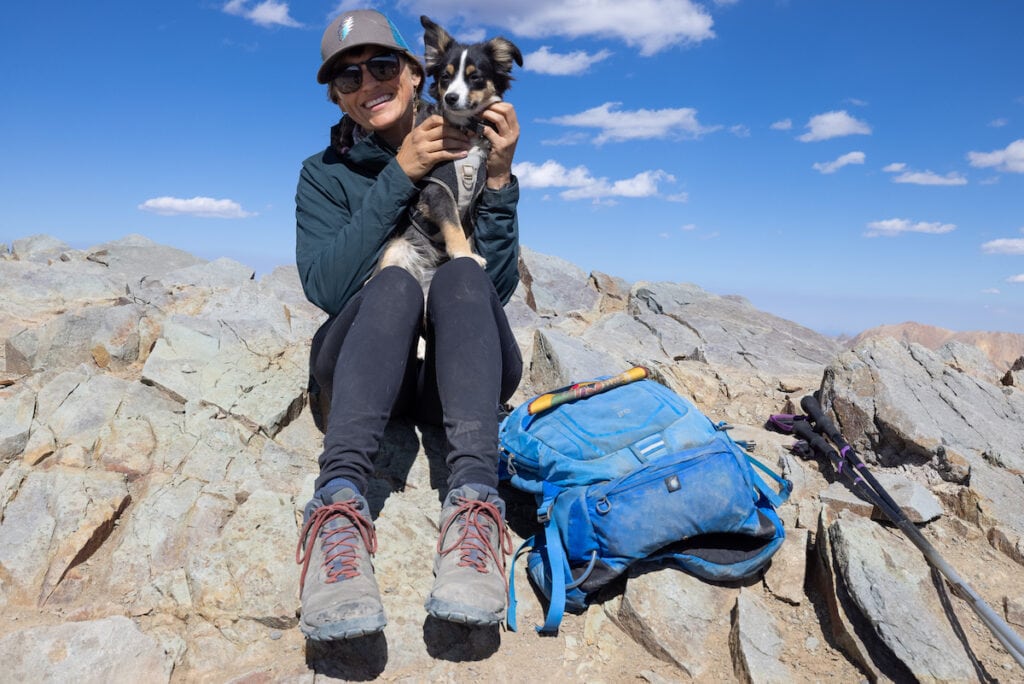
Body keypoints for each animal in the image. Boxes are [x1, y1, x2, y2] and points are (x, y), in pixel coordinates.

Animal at [374, 15, 520, 288]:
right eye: (445, 77)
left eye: (475, 77)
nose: (451, 97)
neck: (467, 132)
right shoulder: (438, 189)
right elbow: (453, 226)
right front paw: (464, 254)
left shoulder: (476, 201)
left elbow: (468, 229)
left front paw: (471, 251)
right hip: (397, 249)